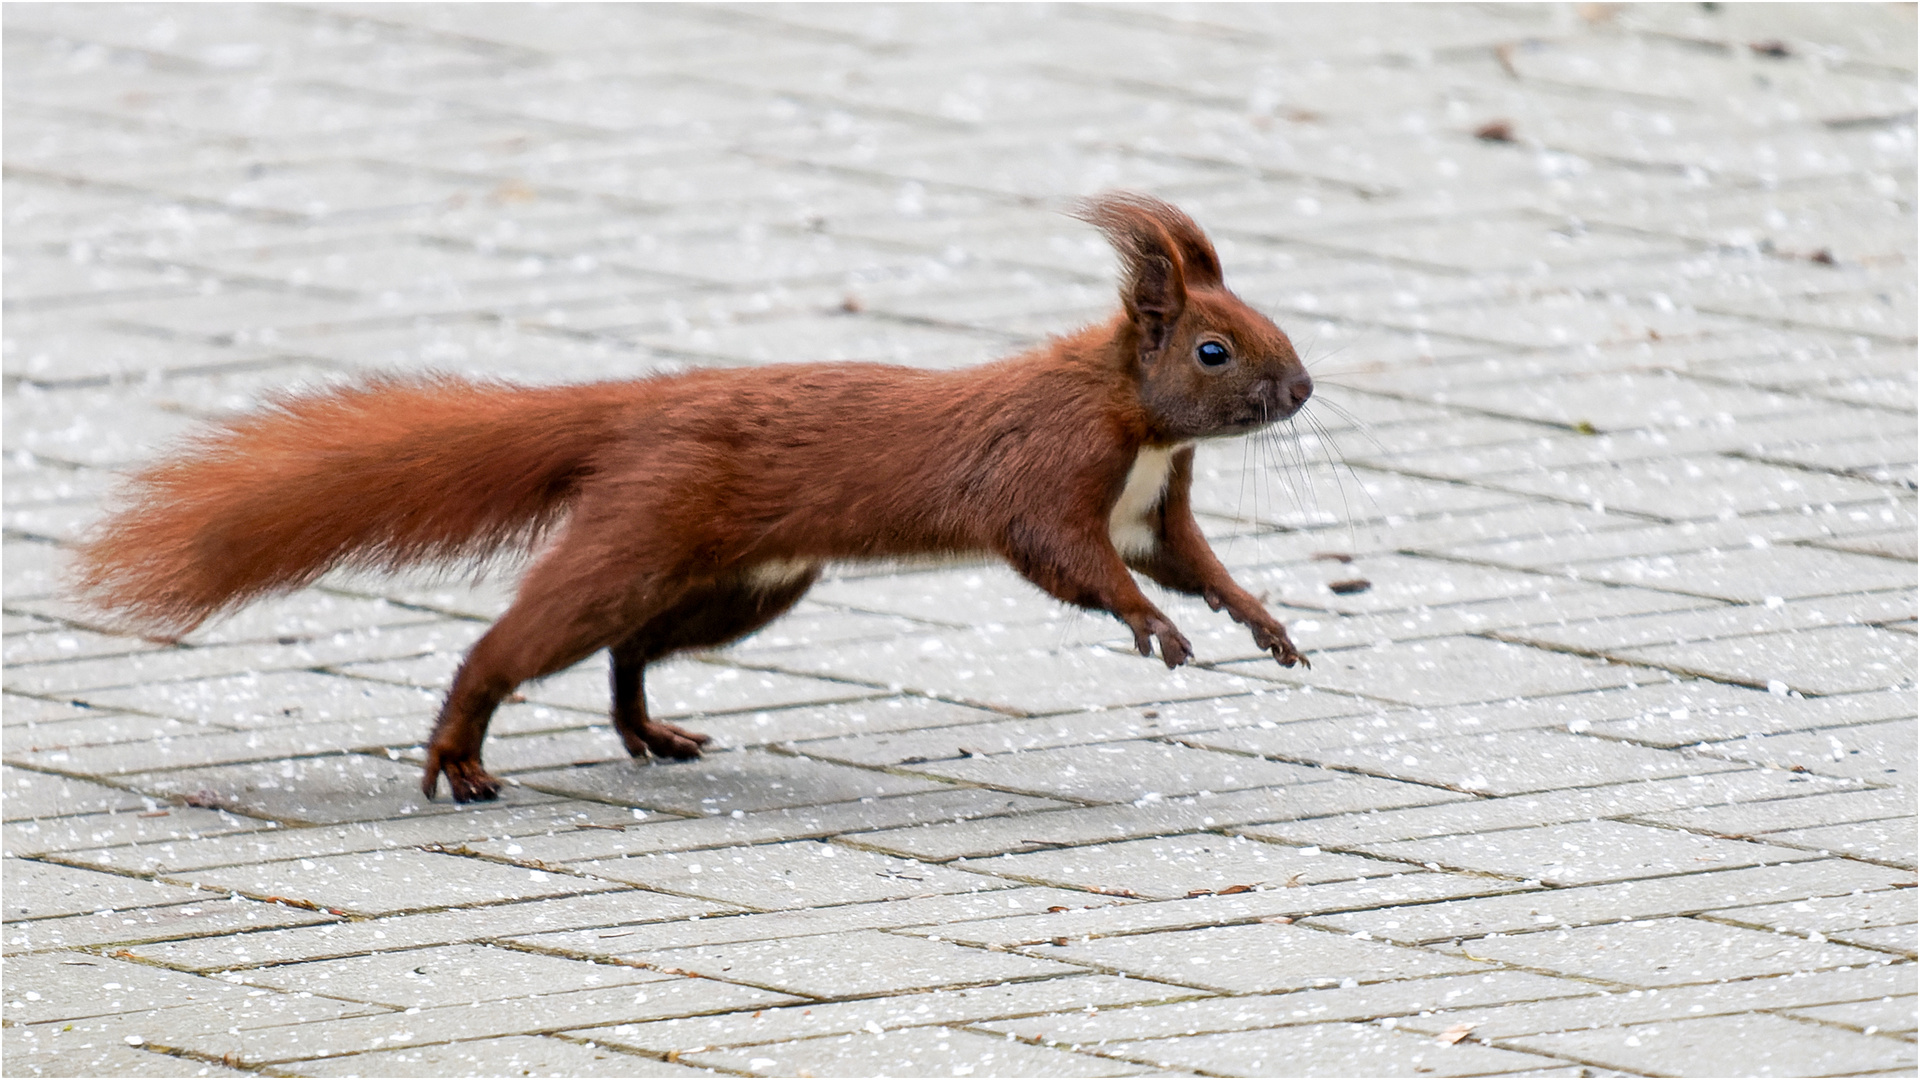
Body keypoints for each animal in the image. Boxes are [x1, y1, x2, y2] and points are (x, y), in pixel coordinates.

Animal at [71, 191, 1305, 799]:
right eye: (1212, 349)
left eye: (1267, 323)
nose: (1300, 388)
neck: (1132, 420)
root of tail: (642, 410)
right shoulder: (1045, 473)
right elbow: (1069, 558)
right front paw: (1154, 631)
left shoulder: (1153, 506)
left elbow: (1190, 563)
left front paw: (1263, 622)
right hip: (641, 535)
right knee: (518, 644)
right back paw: (460, 757)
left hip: (745, 584)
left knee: (631, 649)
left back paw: (647, 730)